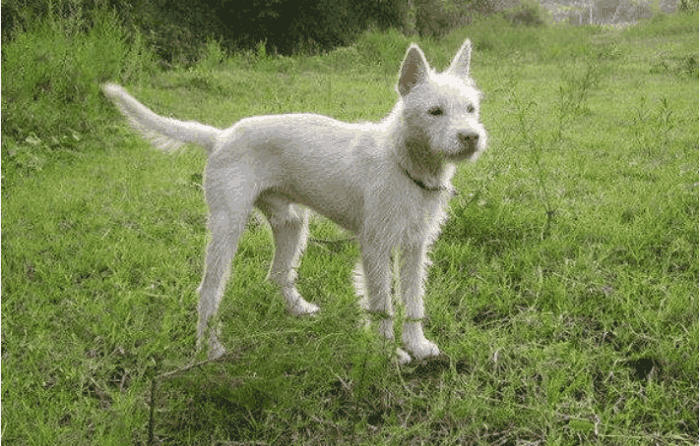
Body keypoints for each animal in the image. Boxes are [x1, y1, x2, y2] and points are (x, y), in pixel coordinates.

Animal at [102, 38, 486, 364]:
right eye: (434, 111)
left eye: (471, 108)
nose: (471, 137)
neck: (402, 161)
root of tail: (220, 137)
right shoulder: (375, 248)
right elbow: (382, 305)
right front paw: (387, 353)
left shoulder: (414, 247)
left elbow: (413, 299)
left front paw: (418, 345)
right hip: (228, 226)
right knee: (208, 290)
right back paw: (208, 349)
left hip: (291, 222)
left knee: (276, 275)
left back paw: (297, 309)